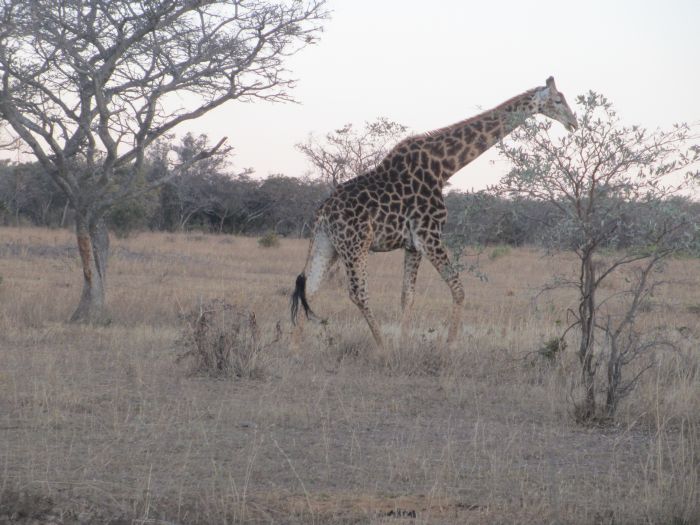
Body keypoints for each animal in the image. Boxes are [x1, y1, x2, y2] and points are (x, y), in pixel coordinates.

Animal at [292, 77, 576, 348]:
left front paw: (404, 343)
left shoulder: (412, 244)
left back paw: (296, 348)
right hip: (355, 245)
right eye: (558, 100)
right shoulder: (429, 235)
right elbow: (458, 288)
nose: (573, 122)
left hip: (328, 244)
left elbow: (407, 297)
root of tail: (322, 213)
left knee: (309, 288)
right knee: (357, 293)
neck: (443, 167)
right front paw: (448, 346)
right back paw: (382, 347)